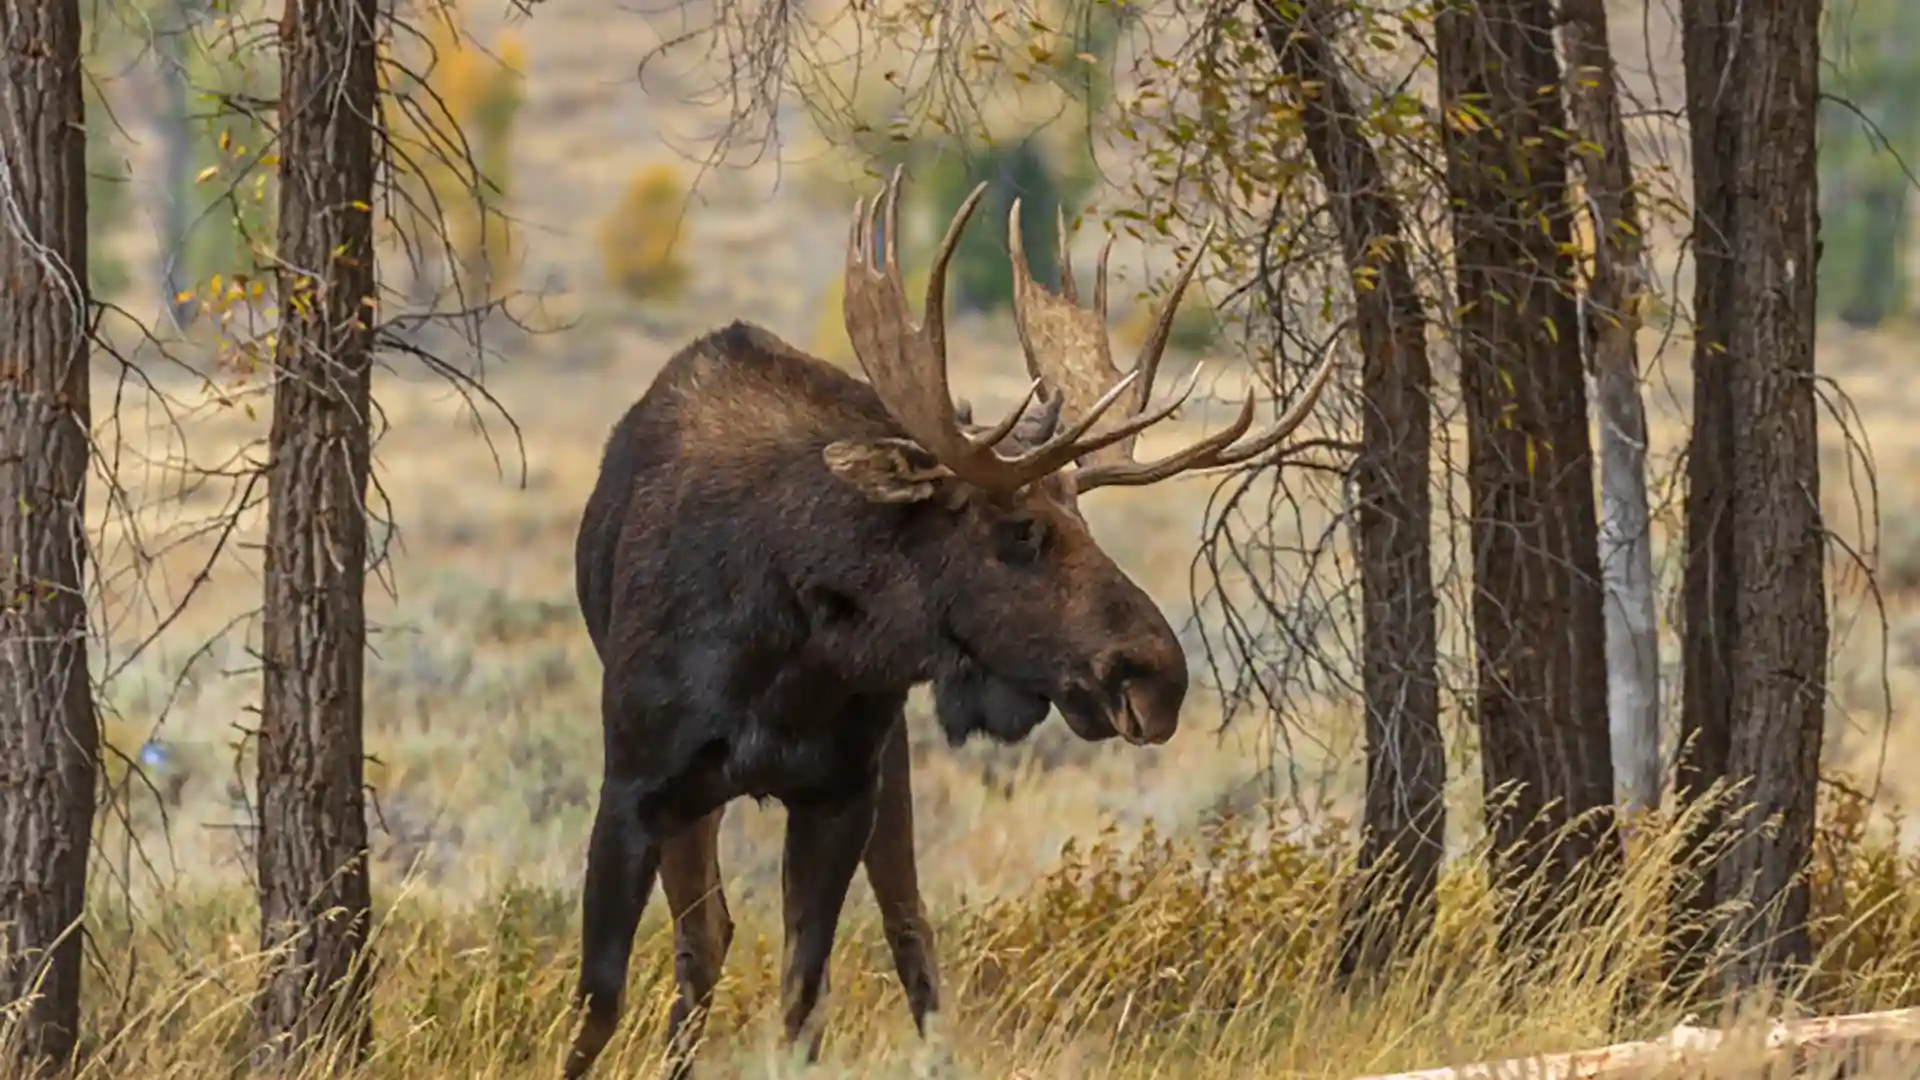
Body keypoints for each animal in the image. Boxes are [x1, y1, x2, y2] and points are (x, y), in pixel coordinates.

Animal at [560, 164, 1336, 1068]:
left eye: (1083, 517)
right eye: (1020, 528)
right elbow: (600, 1001)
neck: (788, 646)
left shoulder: (841, 791)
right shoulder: (635, 785)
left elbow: (801, 1000)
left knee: (905, 930)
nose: (1157, 675)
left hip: (885, 761)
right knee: (704, 941)